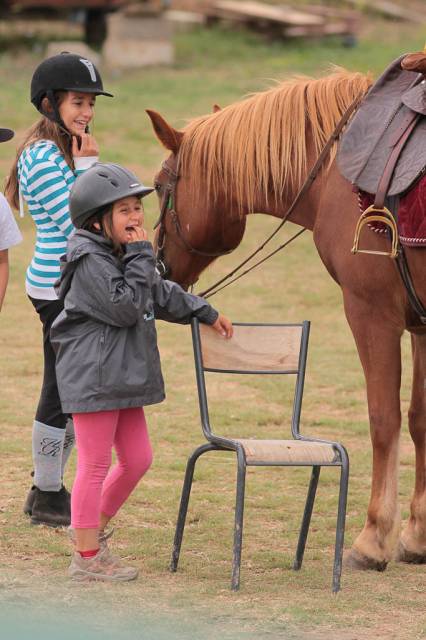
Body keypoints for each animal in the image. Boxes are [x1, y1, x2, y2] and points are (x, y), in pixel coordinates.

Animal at [146, 70, 426, 568]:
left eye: (161, 186)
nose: (159, 264)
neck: (338, 169)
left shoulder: (372, 313)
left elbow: (384, 418)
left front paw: (374, 537)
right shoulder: (419, 325)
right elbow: (419, 419)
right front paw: (416, 535)